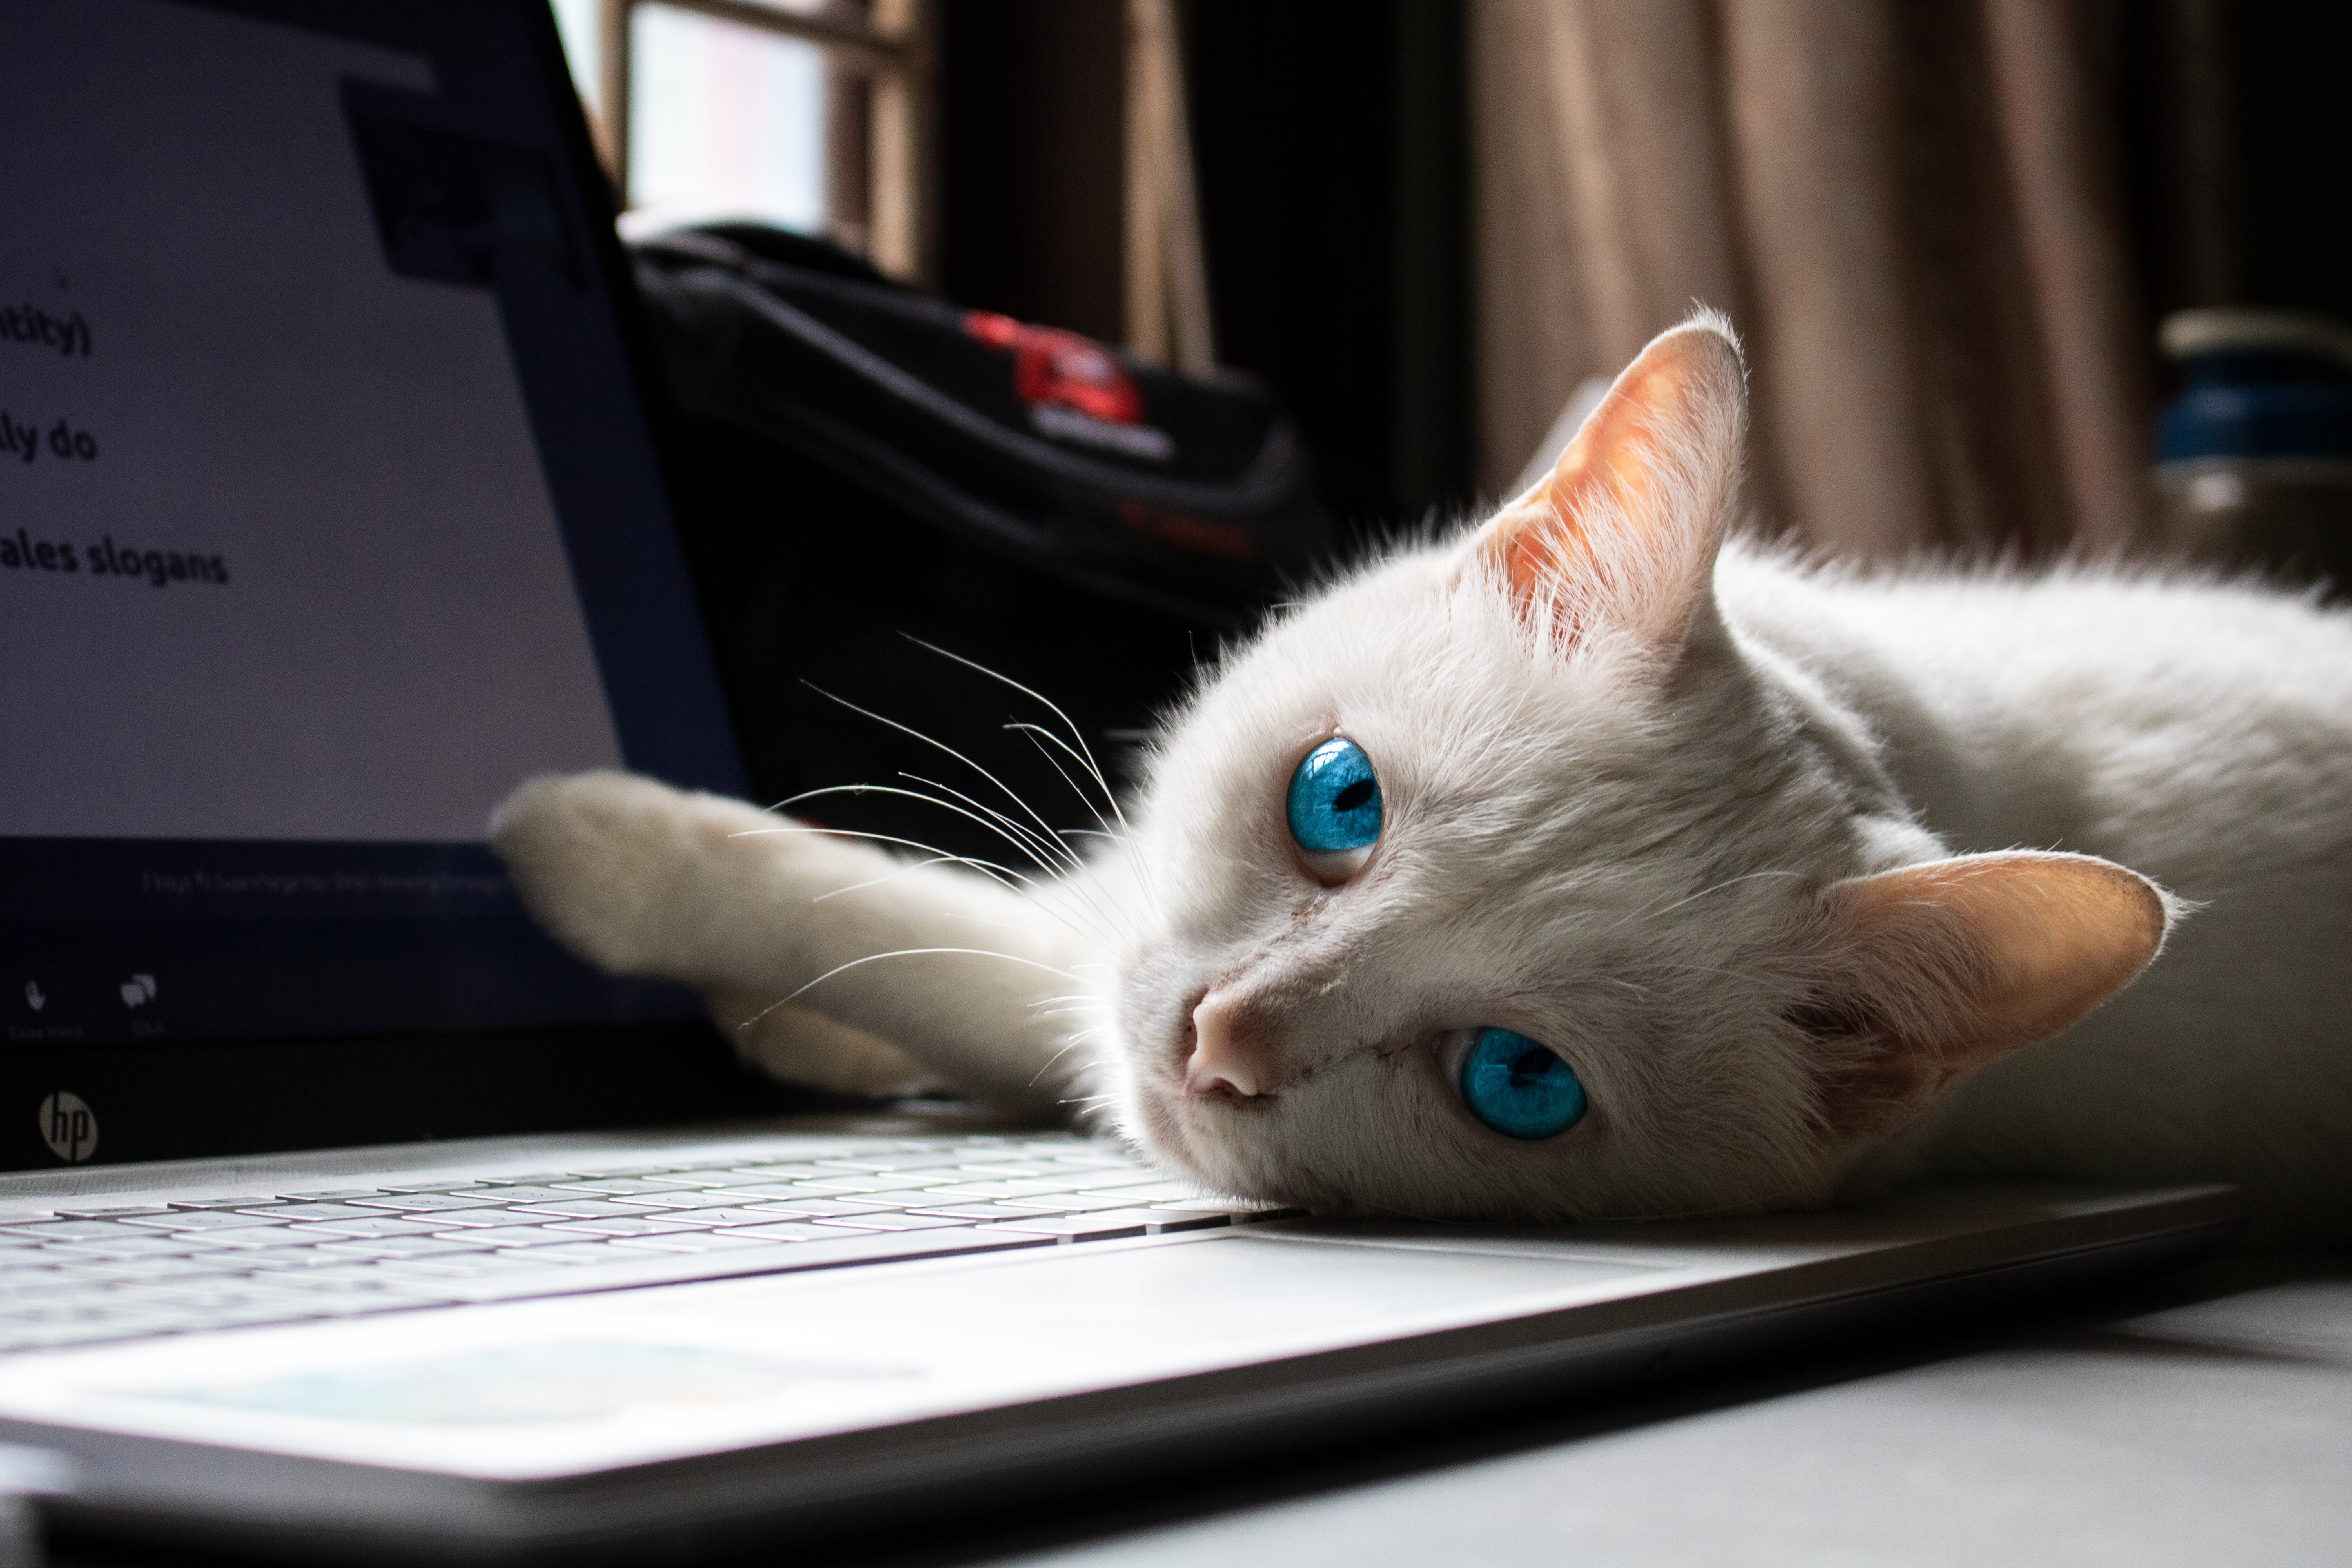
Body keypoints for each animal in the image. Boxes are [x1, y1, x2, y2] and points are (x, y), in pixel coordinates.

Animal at [496, 312, 2352, 1241]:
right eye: (1338, 799)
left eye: (1517, 1081)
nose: (1218, 1044)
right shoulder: (1113, 940)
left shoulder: (1067, 989)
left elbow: (912, 930)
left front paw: (572, 843)